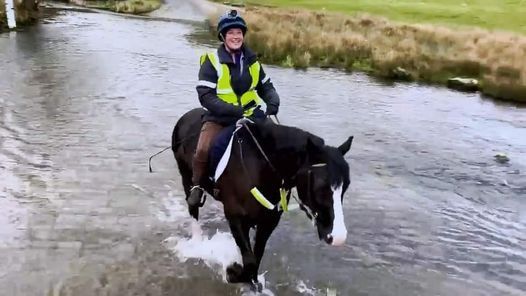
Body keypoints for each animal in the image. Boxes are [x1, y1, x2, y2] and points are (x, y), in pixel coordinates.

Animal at [173, 107, 354, 290]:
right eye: (320, 186)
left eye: (346, 185)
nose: (338, 236)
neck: (260, 166)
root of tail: (187, 116)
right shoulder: (235, 216)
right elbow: (250, 260)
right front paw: (232, 272)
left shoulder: (269, 221)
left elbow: (256, 257)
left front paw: (251, 281)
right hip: (186, 177)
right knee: (193, 208)